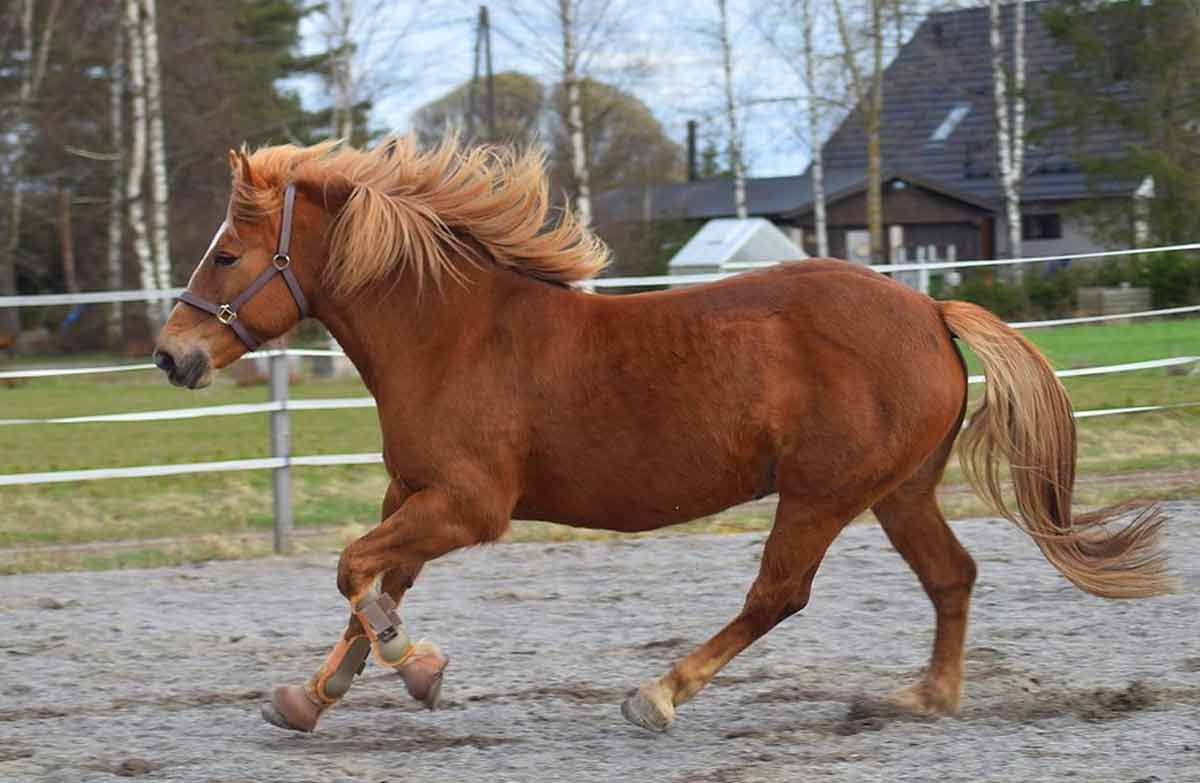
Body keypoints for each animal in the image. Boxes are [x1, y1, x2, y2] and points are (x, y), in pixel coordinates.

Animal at [153, 135, 1172, 735]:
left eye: (227, 254)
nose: (171, 354)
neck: (453, 334)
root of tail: (930, 309)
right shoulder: (413, 494)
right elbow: (374, 583)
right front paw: (312, 695)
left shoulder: (469, 506)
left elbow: (355, 571)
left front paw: (419, 668)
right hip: (898, 490)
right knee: (951, 574)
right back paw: (924, 696)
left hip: (822, 493)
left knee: (778, 593)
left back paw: (659, 693)